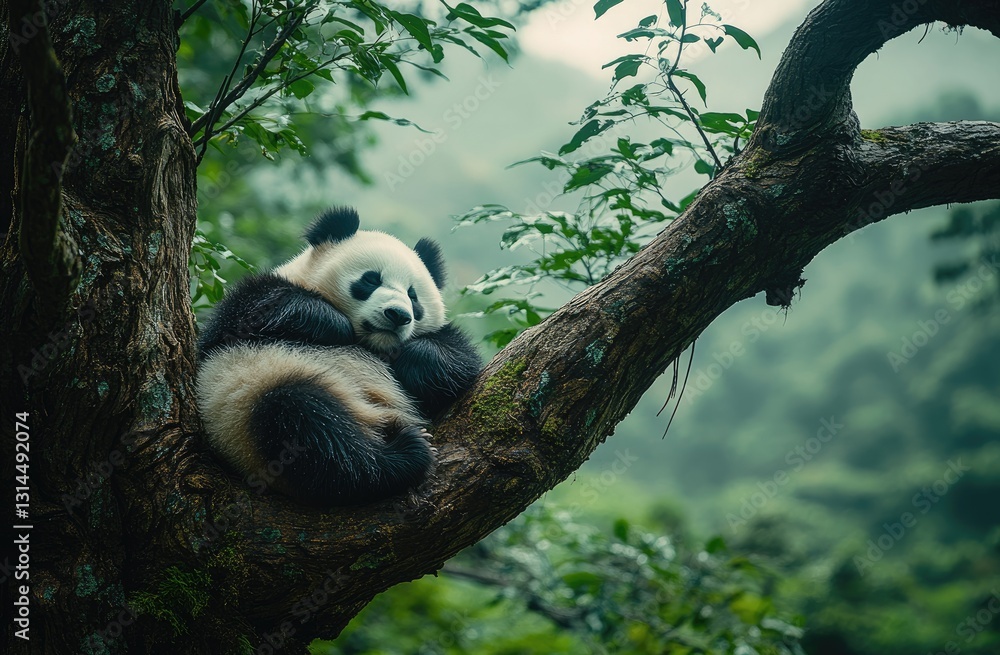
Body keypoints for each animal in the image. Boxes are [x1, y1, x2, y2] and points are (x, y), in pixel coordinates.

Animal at [195, 207, 481, 506]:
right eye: (371, 279)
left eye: (413, 296)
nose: (398, 314)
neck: (370, 343)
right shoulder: (241, 316)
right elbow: (249, 314)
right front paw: (333, 322)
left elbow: (459, 362)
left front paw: (412, 358)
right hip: (253, 395)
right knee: (310, 431)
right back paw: (407, 452)